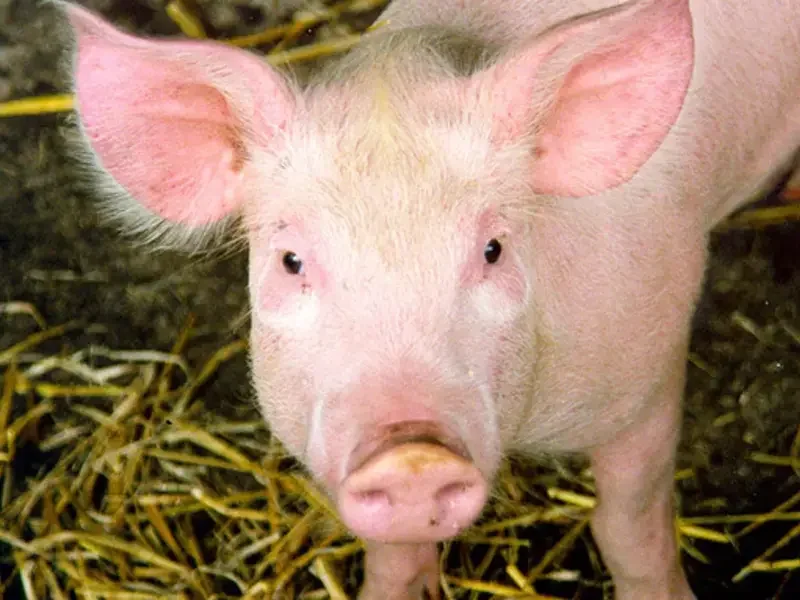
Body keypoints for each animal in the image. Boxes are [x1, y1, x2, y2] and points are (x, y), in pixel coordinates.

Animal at [59, 0, 800, 599]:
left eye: (493, 249)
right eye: (292, 261)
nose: (412, 453)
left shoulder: (651, 363)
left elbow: (628, 521)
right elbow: (394, 556)